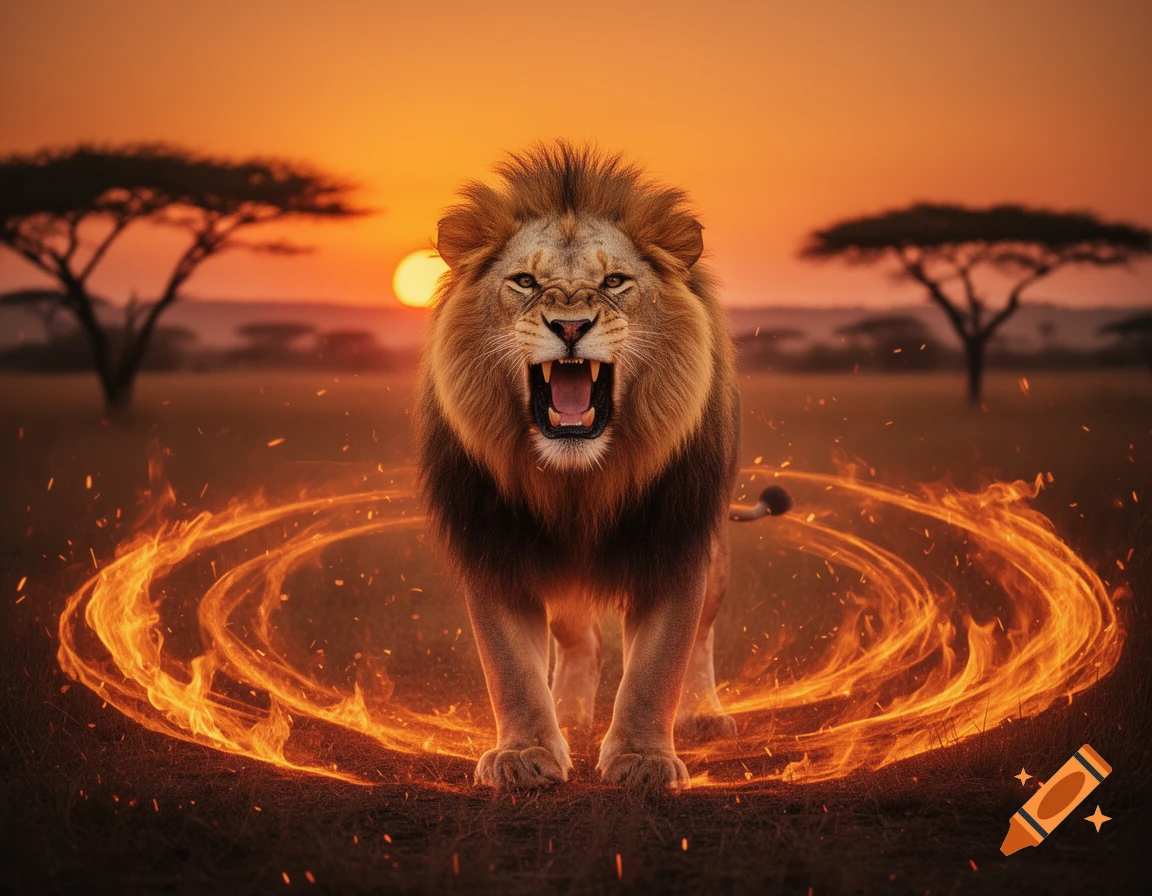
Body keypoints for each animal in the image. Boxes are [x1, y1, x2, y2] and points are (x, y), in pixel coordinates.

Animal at [414, 142, 787, 790]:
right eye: (525, 281)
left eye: (614, 281)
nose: (569, 326)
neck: (579, 479)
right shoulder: (494, 544)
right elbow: (509, 667)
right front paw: (525, 754)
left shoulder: (676, 539)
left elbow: (658, 665)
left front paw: (643, 759)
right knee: (579, 637)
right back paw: (569, 717)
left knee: (702, 636)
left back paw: (702, 716)